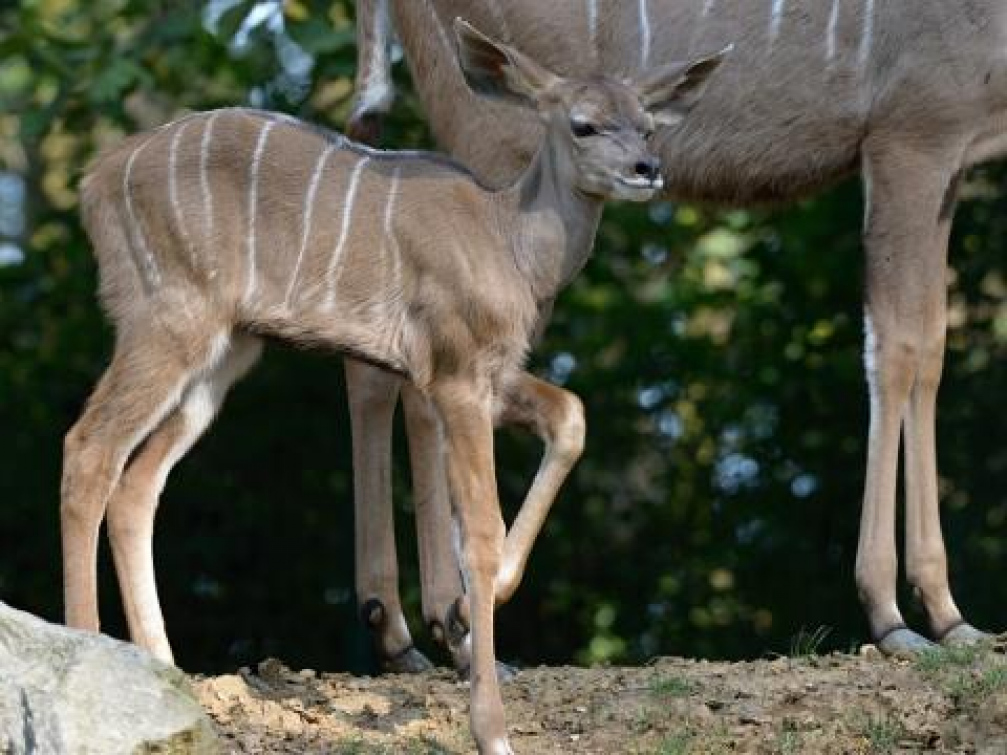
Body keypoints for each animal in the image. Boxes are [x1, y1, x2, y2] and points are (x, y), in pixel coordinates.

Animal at [64, 17, 725, 755]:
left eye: (647, 123)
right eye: (583, 124)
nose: (647, 169)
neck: (509, 241)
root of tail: (95, 180)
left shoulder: (485, 373)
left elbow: (571, 416)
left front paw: (478, 603)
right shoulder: (455, 373)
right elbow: (480, 528)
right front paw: (491, 727)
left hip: (224, 354)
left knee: (137, 480)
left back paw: (162, 664)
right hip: (166, 321)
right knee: (89, 447)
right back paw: (86, 649)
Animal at [350, 0, 1007, 660]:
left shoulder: (947, 163)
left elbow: (932, 345)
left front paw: (952, 618)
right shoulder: (911, 137)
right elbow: (897, 349)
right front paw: (895, 616)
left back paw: (399, 631)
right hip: (489, 141)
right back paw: (453, 627)